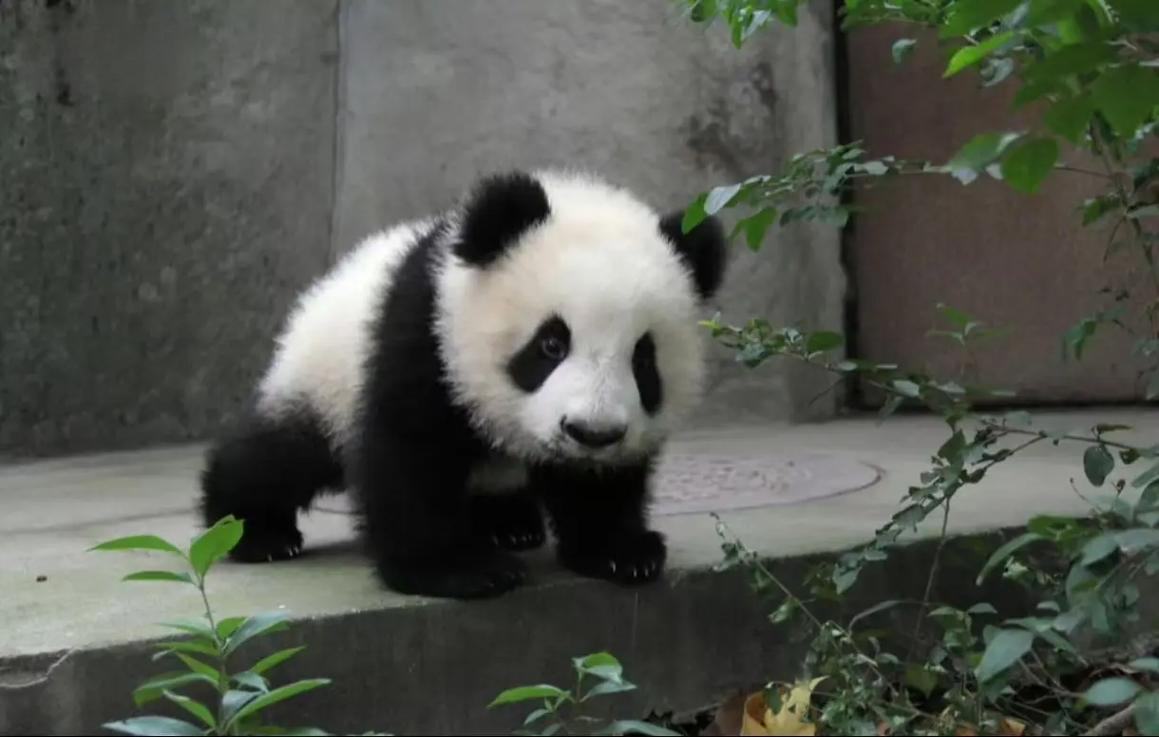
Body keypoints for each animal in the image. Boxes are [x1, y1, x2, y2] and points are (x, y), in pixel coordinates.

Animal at [199, 169, 726, 599]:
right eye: (550, 344)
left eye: (643, 359)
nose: (591, 434)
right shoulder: (427, 336)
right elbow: (411, 455)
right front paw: (460, 570)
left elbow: (603, 485)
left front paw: (621, 551)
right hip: (324, 376)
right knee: (278, 456)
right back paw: (252, 532)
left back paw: (510, 525)